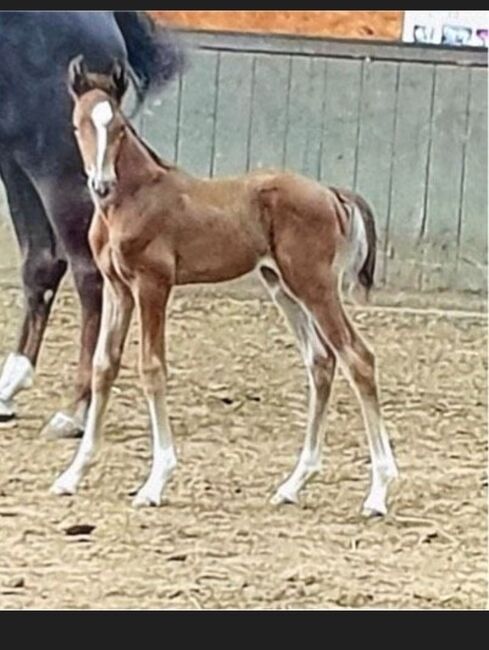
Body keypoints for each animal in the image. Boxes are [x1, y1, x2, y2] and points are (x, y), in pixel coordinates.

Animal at [51, 62, 398, 516]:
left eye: (121, 127)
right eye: (78, 125)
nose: (101, 184)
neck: (132, 199)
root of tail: (330, 192)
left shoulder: (153, 284)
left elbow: (152, 368)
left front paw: (155, 482)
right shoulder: (117, 289)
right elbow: (104, 366)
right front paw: (72, 475)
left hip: (315, 285)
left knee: (358, 357)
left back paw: (377, 493)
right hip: (282, 286)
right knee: (321, 361)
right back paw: (292, 485)